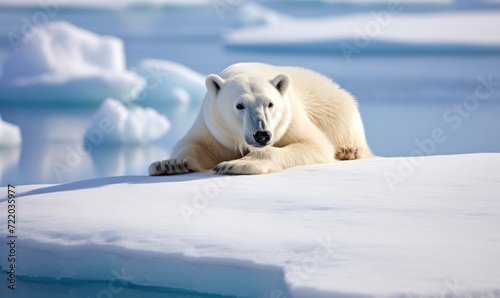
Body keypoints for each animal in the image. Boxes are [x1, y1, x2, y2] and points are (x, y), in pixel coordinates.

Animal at [148, 62, 372, 175]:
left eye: (270, 104)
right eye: (239, 105)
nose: (262, 135)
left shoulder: (289, 121)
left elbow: (315, 144)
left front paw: (234, 165)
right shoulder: (212, 127)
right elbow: (195, 145)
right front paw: (170, 164)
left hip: (338, 110)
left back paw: (348, 151)